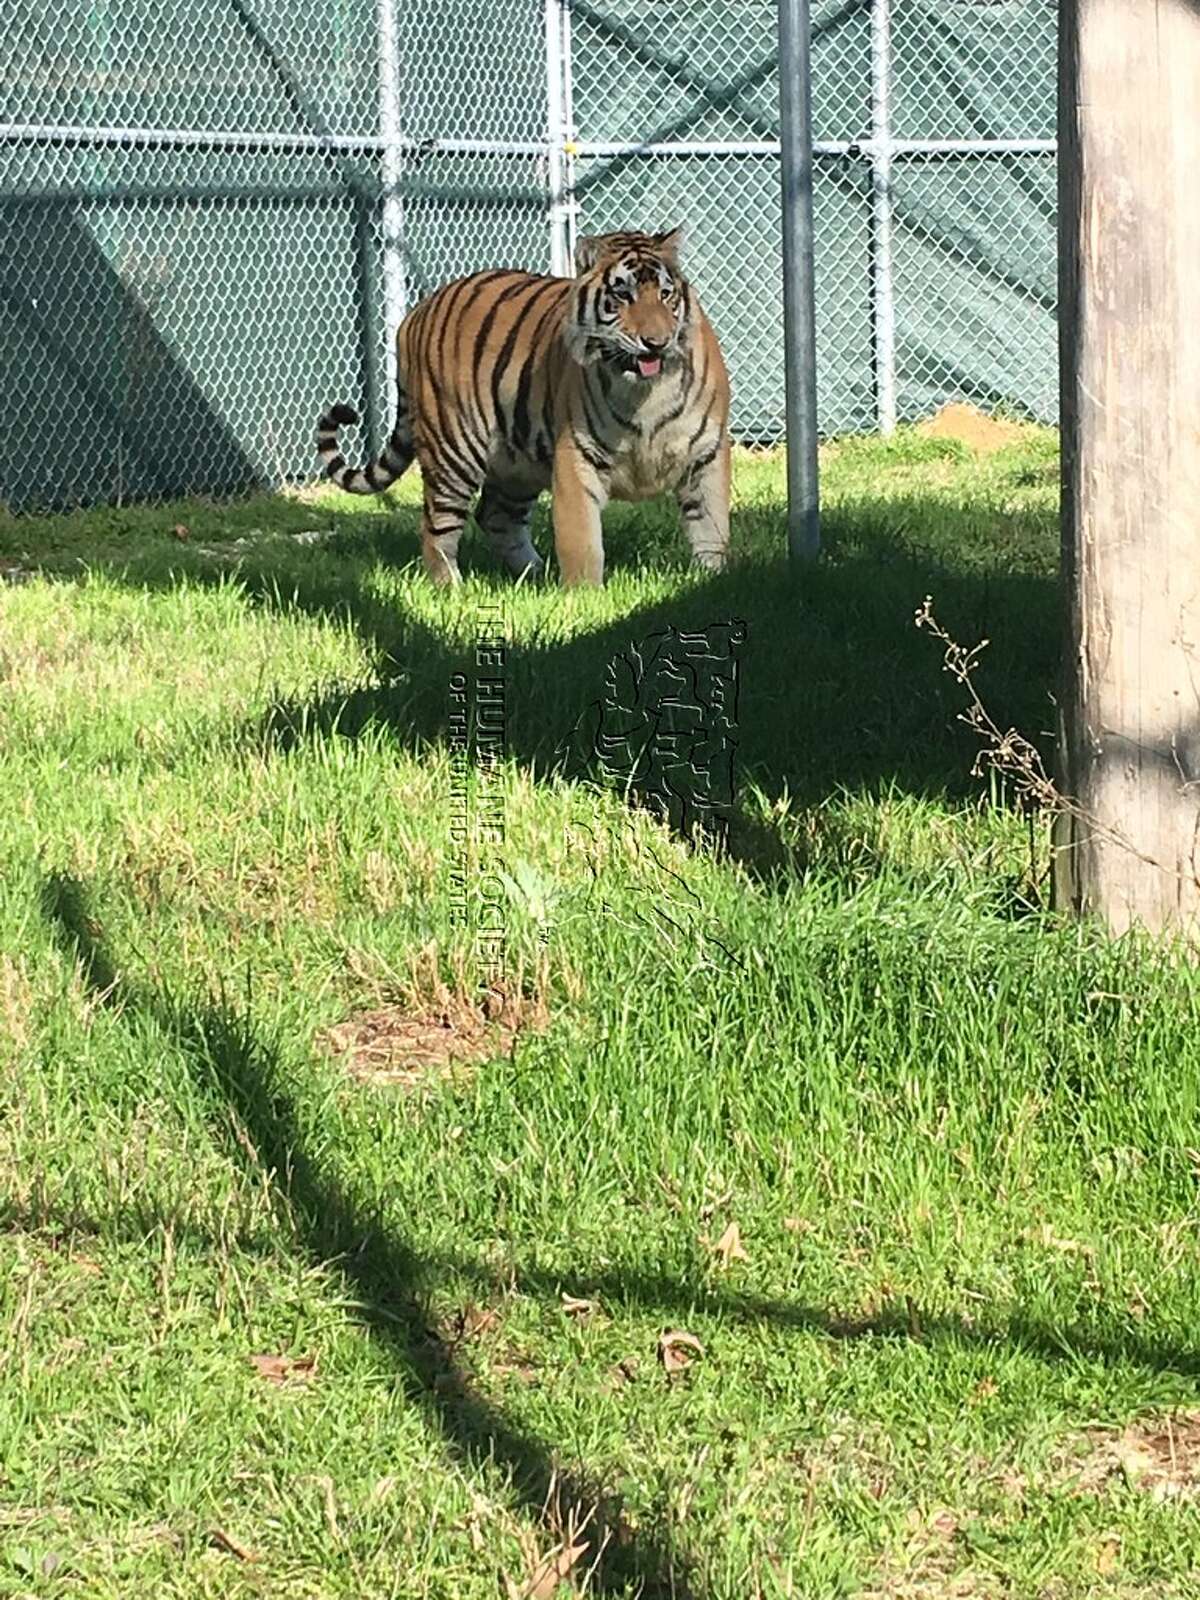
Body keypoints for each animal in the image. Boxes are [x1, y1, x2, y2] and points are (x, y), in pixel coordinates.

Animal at [316, 227, 730, 587]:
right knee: (437, 524)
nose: (656, 342)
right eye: (622, 296)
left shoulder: (708, 453)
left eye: (666, 295)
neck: (647, 392)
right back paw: (451, 586)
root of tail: (414, 314)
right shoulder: (576, 454)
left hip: (518, 461)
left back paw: (534, 575)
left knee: (496, 516)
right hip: (453, 451)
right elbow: (581, 537)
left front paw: (711, 582)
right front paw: (583, 598)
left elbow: (712, 525)